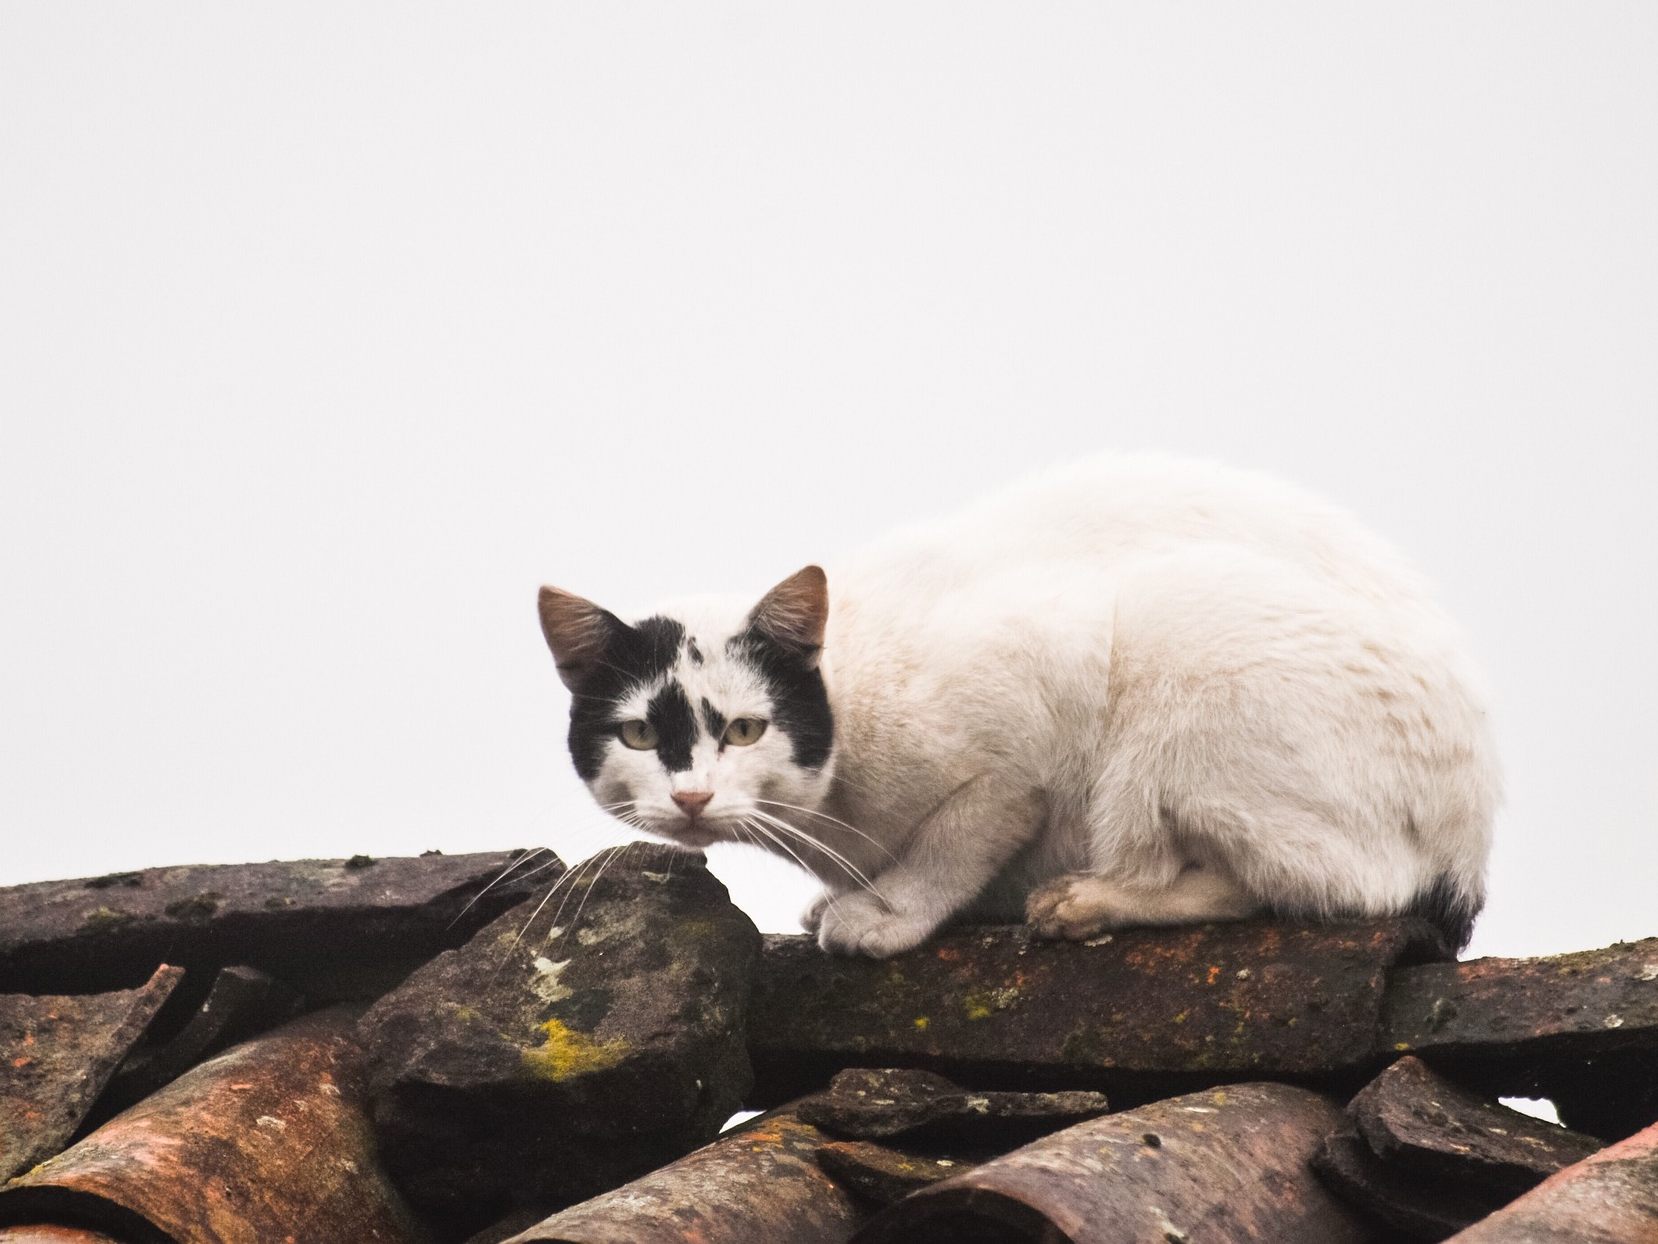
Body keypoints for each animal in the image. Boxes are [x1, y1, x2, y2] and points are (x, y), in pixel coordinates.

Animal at [537, 454, 1498, 962]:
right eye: (638, 734)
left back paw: (1087, 901)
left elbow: (957, 837)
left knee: (1320, 887)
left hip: (1182, 633)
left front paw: (885, 914)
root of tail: (1471, 849)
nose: (693, 798)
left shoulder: (1026, 731)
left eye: (744, 729)